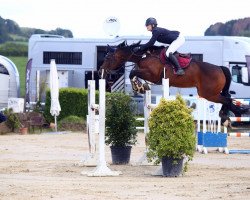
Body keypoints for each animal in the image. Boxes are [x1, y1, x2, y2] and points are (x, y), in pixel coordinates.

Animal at [98, 40, 247, 123]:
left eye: (108, 57)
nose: (100, 71)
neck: (144, 56)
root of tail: (220, 68)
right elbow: (134, 74)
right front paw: (141, 86)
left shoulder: (153, 76)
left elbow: (132, 73)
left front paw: (138, 87)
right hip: (210, 93)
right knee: (228, 98)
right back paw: (232, 114)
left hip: (208, 93)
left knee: (227, 100)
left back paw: (229, 116)